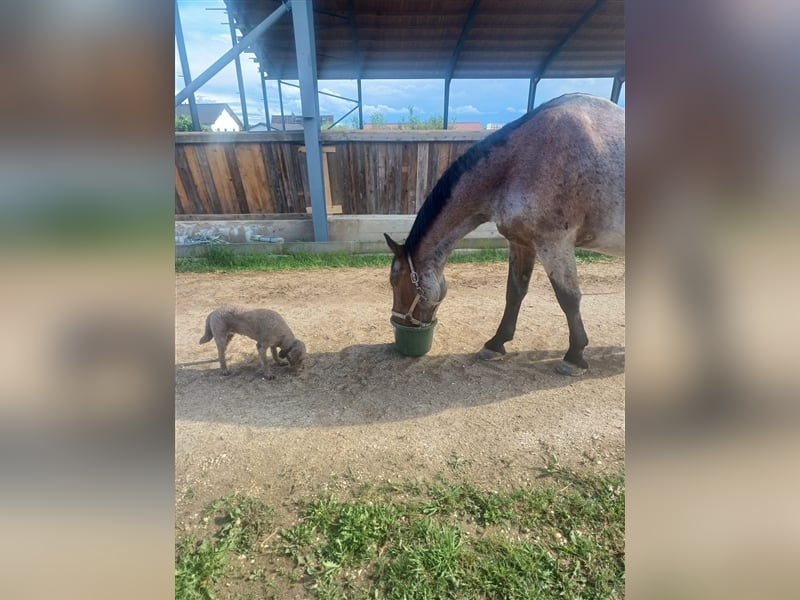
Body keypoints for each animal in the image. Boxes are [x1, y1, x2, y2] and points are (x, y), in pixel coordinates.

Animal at [382, 92, 624, 376]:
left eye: (394, 281)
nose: (397, 321)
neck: (523, 158)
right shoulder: (522, 243)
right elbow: (514, 292)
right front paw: (496, 343)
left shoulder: (555, 244)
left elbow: (569, 298)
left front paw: (574, 356)